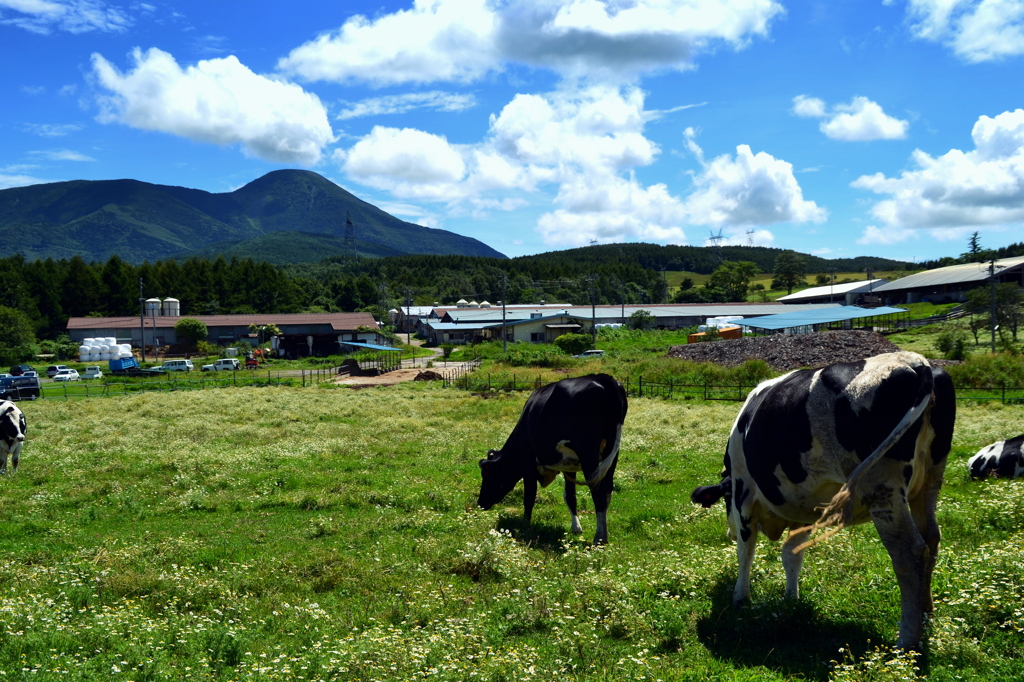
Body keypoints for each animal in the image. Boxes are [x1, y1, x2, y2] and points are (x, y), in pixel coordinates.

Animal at [475, 372, 626, 540]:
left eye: (487, 474)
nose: (480, 503)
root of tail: (603, 378)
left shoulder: (528, 463)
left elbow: (529, 495)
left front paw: (525, 525)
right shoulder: (569, 465)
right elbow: (570, 496)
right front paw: (576, 527)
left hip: (588, 453)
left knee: (598, 491)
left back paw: (599, 537)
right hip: (612, 451)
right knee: (607, 489)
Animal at [692, 350, 954, 647]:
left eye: (725, 500)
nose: (729, 532)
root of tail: (917, 362)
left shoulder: (743, 492)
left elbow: (746, 551)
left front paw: (740, 597)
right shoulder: (803, 508)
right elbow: (791, 554)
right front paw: (791, 599)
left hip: (882, 487)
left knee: (910, 553)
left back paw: (906, 641)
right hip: (929, 480)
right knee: (931, 538)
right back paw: (926, 610)